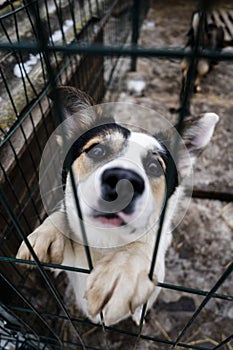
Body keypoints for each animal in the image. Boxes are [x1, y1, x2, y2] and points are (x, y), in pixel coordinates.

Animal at [16, 86, 218, 326]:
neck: (106, 240)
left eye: (154, 166)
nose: (123, 181)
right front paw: (48, 231)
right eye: (97, 151)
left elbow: (145, 246)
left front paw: (122, 269)